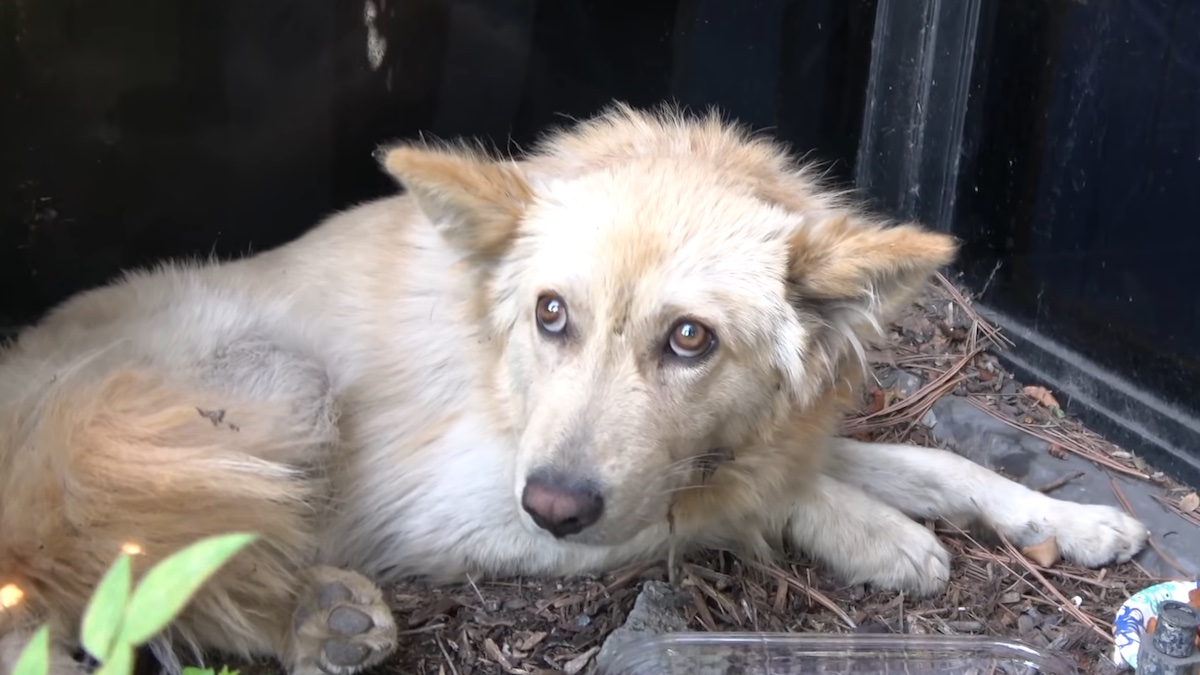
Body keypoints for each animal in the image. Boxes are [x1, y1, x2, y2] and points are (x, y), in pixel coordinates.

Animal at [0, 103, 1142, 672]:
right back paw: (313, 621)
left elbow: (928, 463)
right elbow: (735, 503)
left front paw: (1072, 520)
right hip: (259, 388)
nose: (552, 506)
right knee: (133, 583)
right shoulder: (465, 503)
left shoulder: (773, 439)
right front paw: (879, 537)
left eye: (690, 339)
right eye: (551, 314)